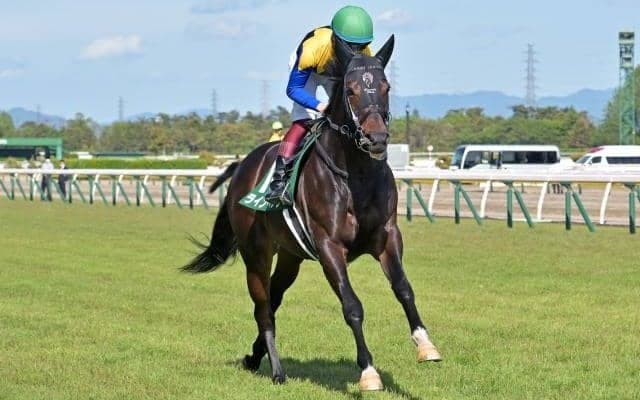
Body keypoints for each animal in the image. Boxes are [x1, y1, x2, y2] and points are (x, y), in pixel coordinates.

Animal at [182, 35, 441, 392]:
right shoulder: (329, 246)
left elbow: (404, 288)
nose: (376, 138)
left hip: (290, 257)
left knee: (274, 298)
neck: (356, 177)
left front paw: (425, 345)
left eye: (386, 86)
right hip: (256, 254)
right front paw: (368, 372)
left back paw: (253, 357)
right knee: (263, 308)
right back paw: (276, 370)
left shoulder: (387, 236)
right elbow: (352, 306)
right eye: (350, 90)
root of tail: (241, 167)